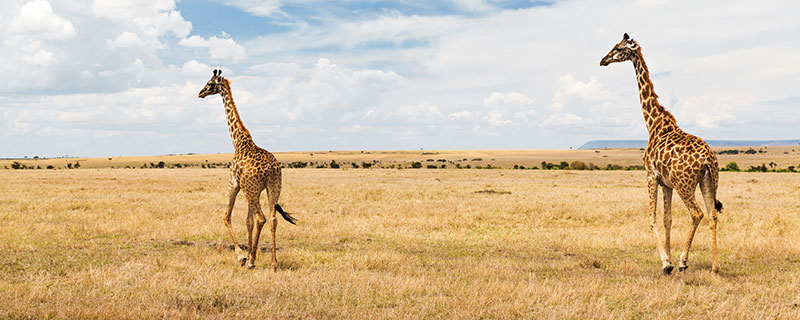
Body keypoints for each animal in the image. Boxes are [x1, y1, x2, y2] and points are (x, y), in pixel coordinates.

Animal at [198, 69, 298, 270]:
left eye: (209, 83)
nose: (200, 93)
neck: (238, 140)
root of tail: (270, 169)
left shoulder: (235, 184)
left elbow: (227, 217)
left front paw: (242, 256)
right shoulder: (255, 189)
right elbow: (248, 222)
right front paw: (251, 254)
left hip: (251, 189)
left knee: (261, 218)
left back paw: (251, 261)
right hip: (273, 187)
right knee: (272, 219)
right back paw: (274, 262)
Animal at [600, 35, 724, 276]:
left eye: (618, 48)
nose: (603, 60)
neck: (653, 123)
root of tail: (707, 159)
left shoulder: (651, 175)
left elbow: (652, 218)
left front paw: (667, 263)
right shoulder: (666, 183)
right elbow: (668, 219)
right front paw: (668, 257)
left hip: (684, 184)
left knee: (697, 214)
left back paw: (684, 262)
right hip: (709, 181)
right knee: (712, 214)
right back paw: (715, 267)